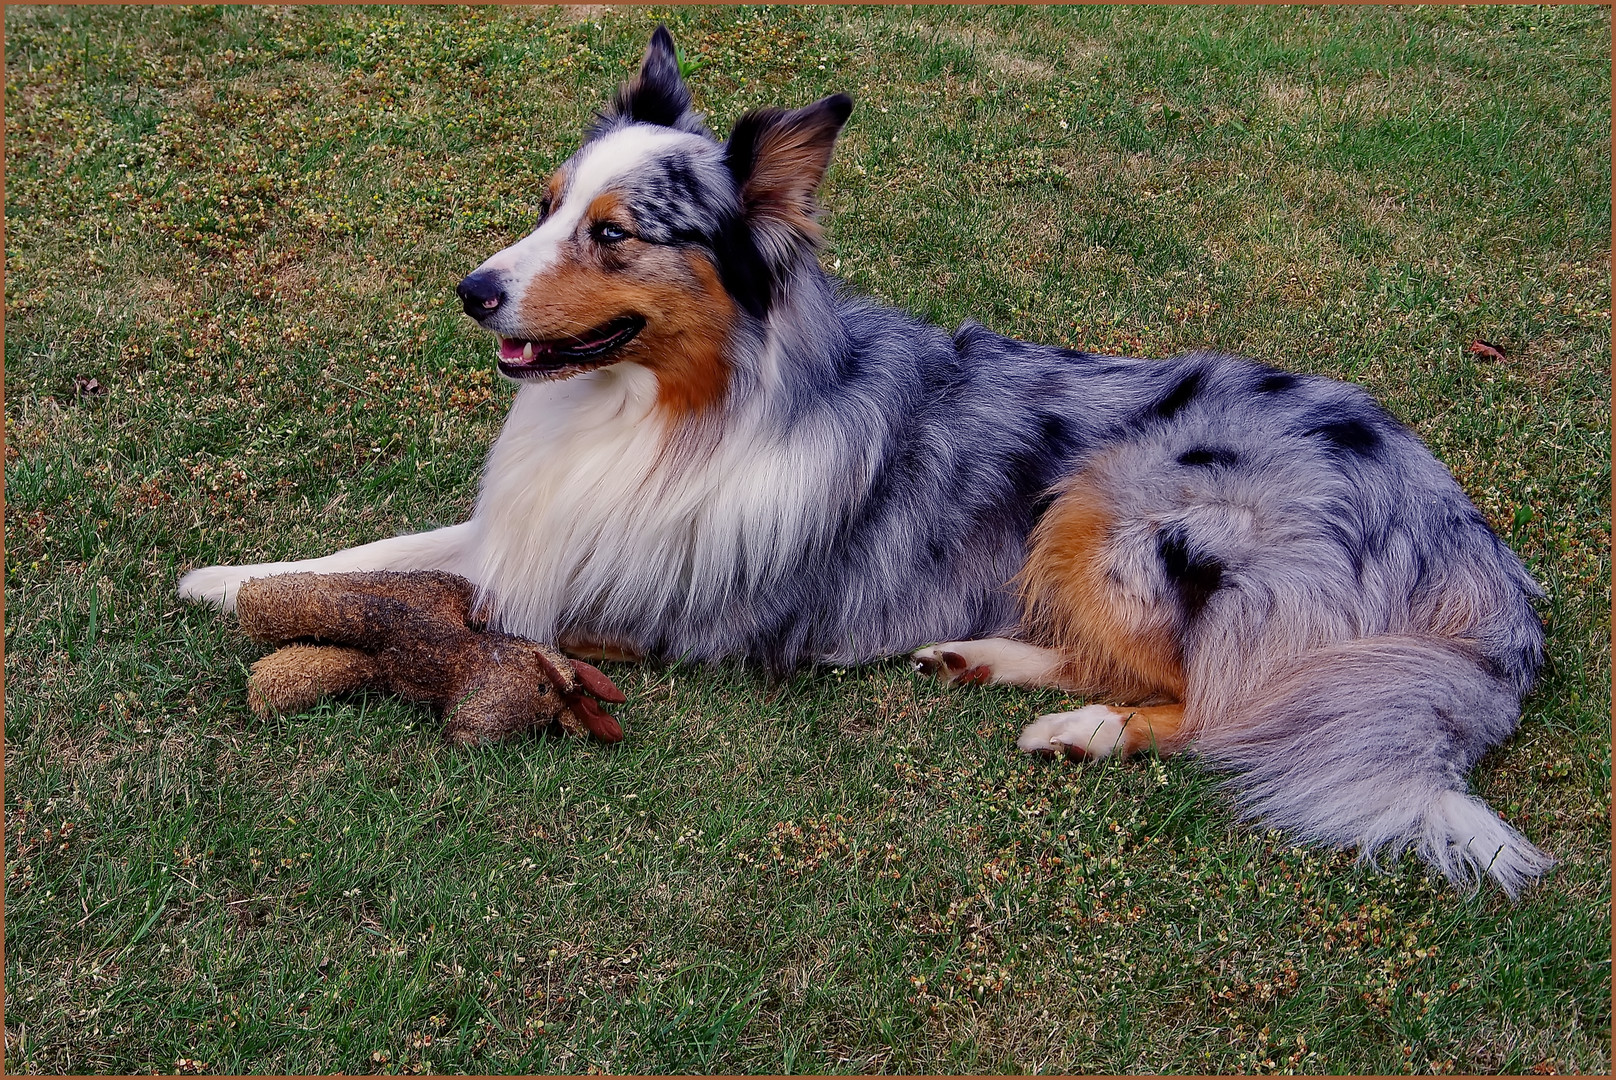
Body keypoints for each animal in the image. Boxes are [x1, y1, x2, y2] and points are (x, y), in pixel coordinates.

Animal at [176, 29, 1551, 898]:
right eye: (547, 201)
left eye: (614, 235)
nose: (470, 291)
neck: (665, 411)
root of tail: (1473, 545)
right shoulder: (544, 525)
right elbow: (390, 554)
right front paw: (237, 579)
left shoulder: (655, 603)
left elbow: (454, 600)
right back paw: (977, 656)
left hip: (1121, 499)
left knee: (1220, 703)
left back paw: (1081, 729)